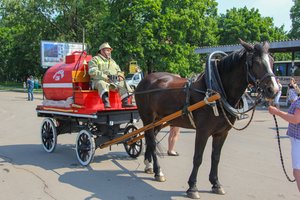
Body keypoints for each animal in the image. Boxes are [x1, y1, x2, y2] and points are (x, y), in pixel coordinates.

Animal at [135, 39, 280, 198]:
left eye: (272, 61)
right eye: (256, 62)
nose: (273, 90)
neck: (216, 91)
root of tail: (145, 80)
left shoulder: (222, 133)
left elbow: (215, 157)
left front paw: (216, 184)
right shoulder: (203, 131)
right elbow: (198, 158)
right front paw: (193, 187)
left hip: (160, 120)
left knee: (150, 139)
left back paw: (149, 165)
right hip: (148, 118)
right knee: (152, 142)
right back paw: (158, 171)